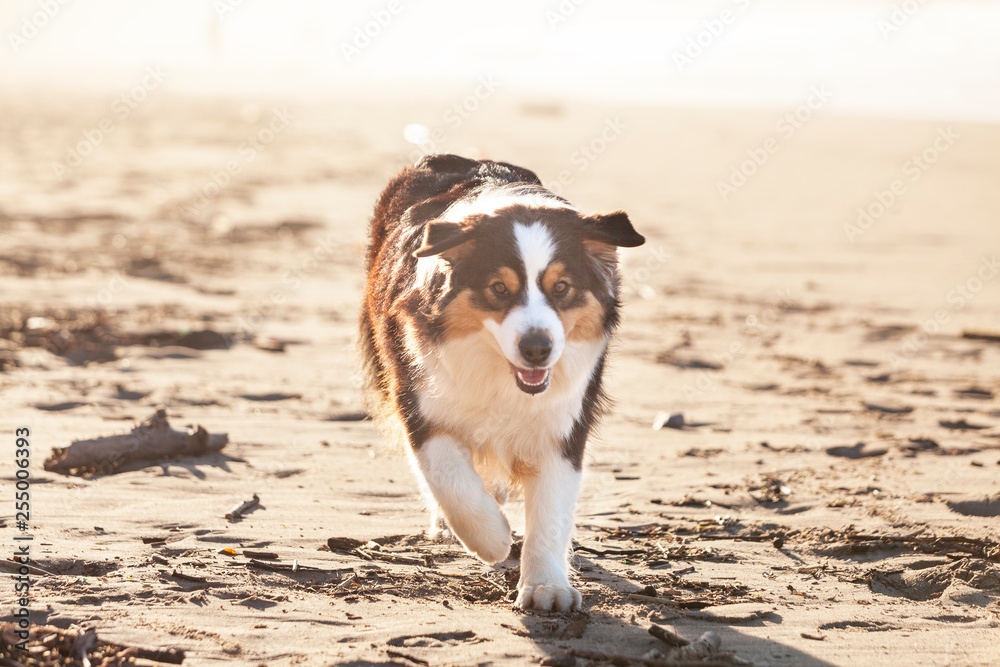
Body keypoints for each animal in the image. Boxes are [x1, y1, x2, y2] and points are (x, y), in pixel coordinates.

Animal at [360, 155, 648, 612]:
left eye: (562, 288)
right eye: (498, 288)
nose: (537, 349)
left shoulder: (563, 423)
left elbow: (551, 510)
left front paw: (547, 587)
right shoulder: (420, 397)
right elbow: (449, 478)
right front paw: (491, 538)